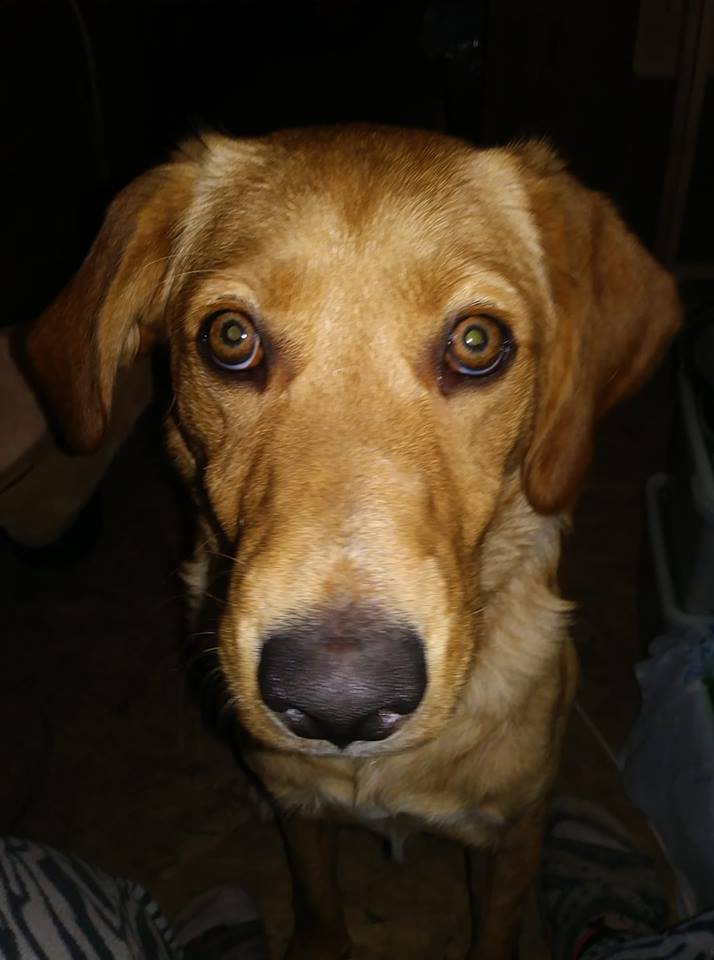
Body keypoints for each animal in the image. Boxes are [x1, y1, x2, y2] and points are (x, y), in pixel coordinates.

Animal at [25, 125, 680, 959]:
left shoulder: (513, 834)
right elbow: (318, 899)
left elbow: (496, 925)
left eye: (478, 342)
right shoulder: (305, 822)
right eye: (230, 337)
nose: (340, 704)